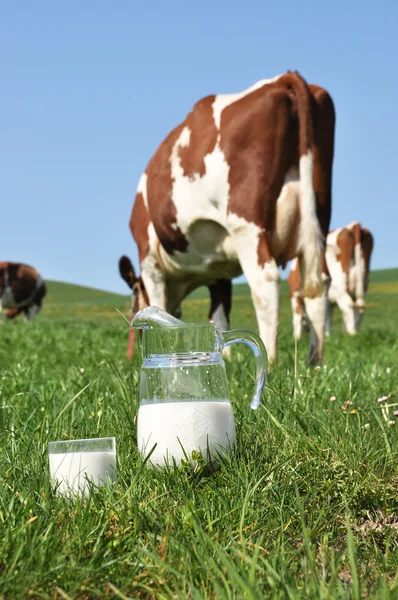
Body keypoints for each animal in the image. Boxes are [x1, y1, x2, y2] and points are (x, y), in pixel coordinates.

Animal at [119, 70, 334, 360]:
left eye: (133, 308)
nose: (132, 352)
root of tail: (283, 78)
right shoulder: (219, 269)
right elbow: (220, 316)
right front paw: (226, 356)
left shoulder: (148, 255)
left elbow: (160, 302)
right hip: (320, 214)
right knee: (318, 285)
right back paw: (315, 362)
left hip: (246, 224)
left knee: (265, 282)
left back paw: (273, 358)